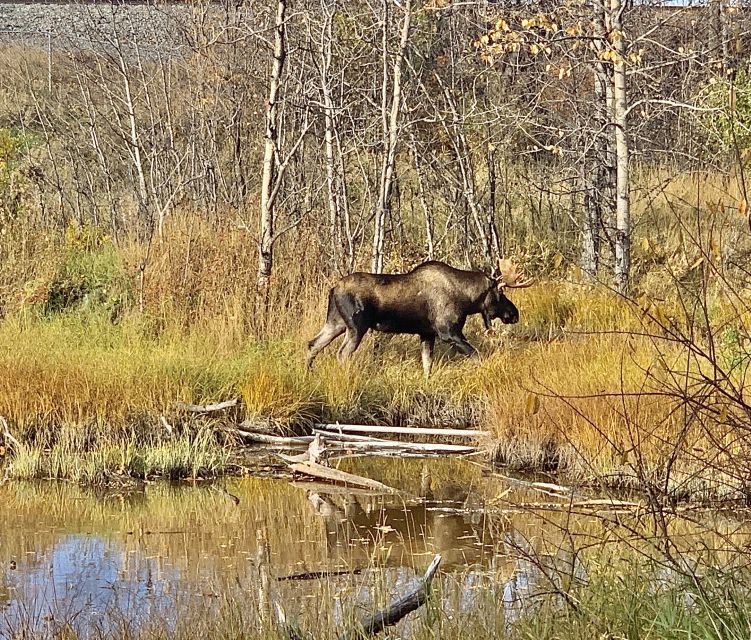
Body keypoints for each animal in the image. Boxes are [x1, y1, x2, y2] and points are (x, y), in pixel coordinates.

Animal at [306, 258, 536, 378]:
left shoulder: (427, 334)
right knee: (342, 353)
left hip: (336, 322)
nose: (514, 314)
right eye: (501, 294)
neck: (467, 299)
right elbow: (476, 355)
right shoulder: (448, 332)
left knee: (313, 344)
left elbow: (427, 365)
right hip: (356, 326)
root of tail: (333, 289)